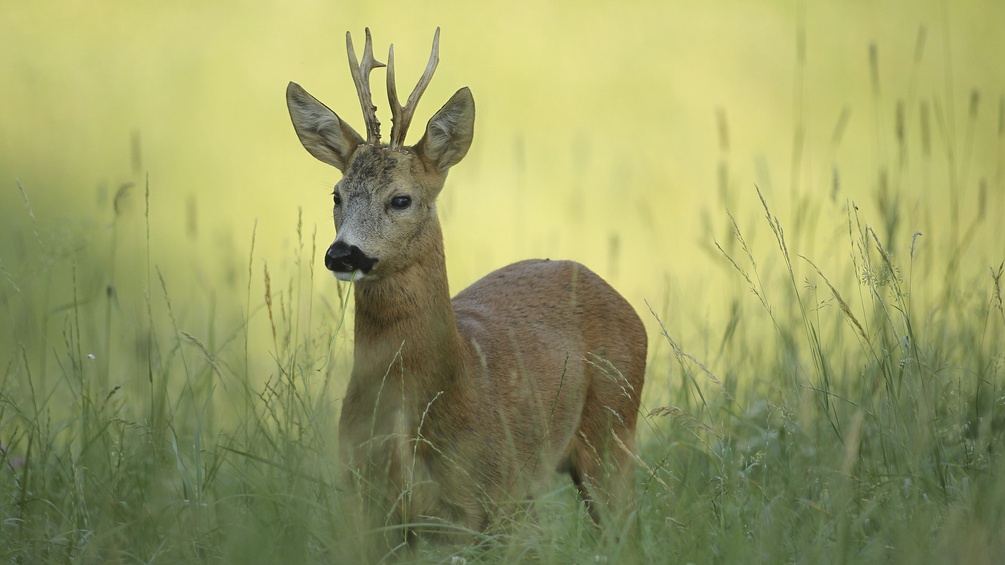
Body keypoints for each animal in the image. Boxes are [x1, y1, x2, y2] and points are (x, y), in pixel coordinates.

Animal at [285, 27, 643, 554]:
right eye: (336, 195)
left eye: (401, 199)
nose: (342, 254)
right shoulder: (368, 504)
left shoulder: (486, 496)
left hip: (612, 433)